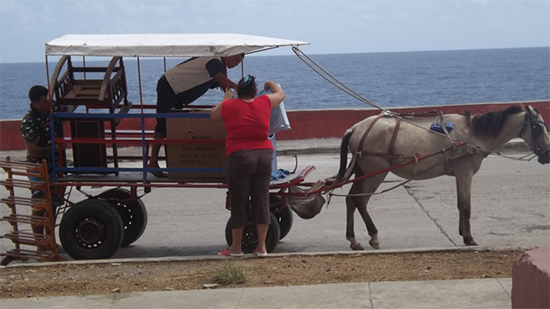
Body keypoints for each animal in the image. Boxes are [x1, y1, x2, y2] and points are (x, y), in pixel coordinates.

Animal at [336, 104, 550, 249]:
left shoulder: (459, 173)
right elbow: (466, 206)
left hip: (362, 172)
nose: (547, 154)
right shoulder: (465, 172)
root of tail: (356, 128)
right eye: (538, 128)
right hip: (375, 173)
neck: (472, 135)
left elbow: (460, 204)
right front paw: (469, 238)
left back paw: (353, 239)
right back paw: (373, 235)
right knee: (360, 201)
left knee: (350, 200)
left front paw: (463, 232)